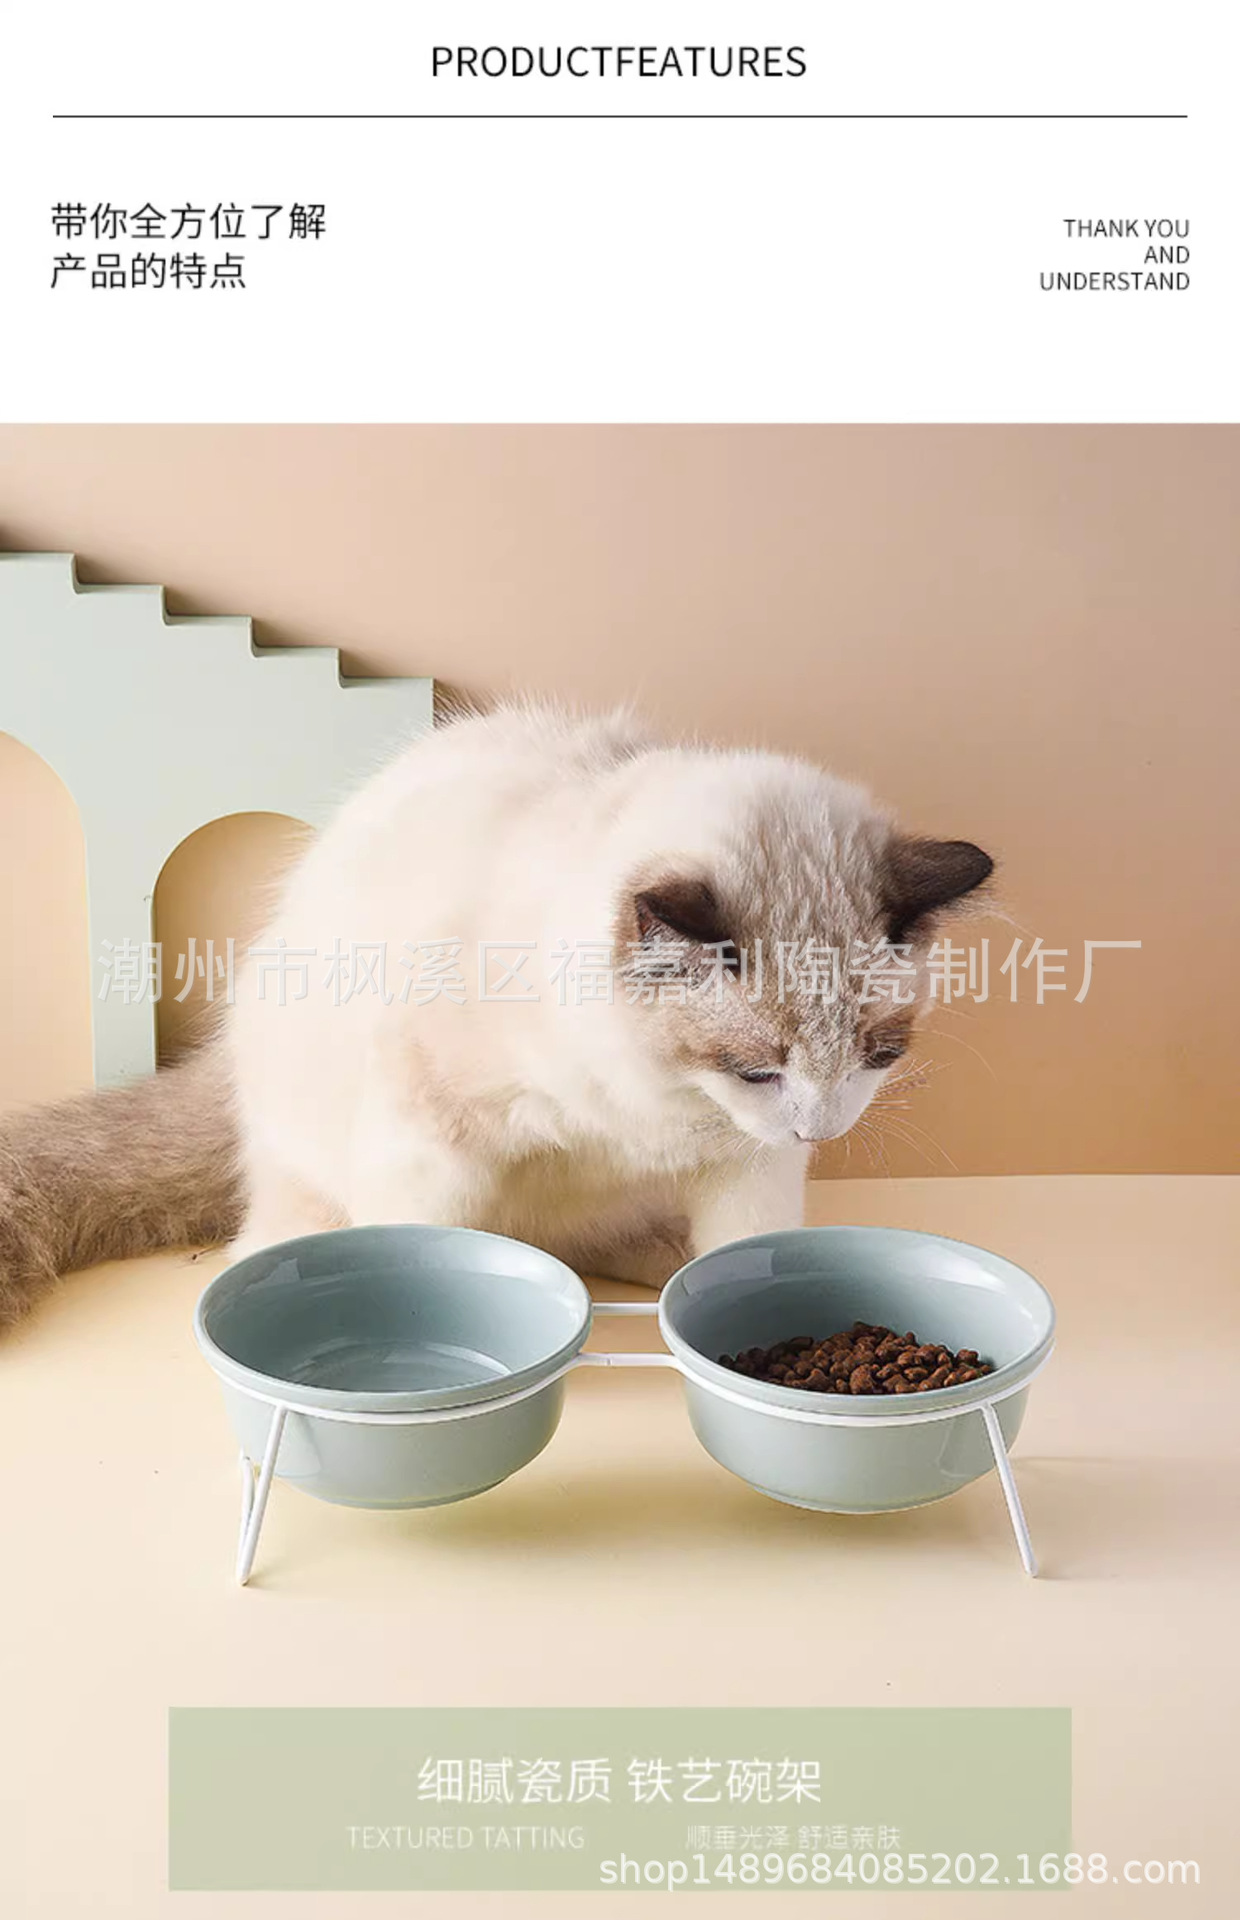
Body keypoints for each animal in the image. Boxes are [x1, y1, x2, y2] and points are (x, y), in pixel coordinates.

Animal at [0, 702, 992, 1325]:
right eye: (758, 1070)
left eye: (879, 1055)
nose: (818, 1128)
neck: (644, 1109)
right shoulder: (432, 1141)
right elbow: (422, 1250)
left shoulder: (743, 1162)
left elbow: (751, 1248)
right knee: (275, 1231)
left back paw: (659, 1265)